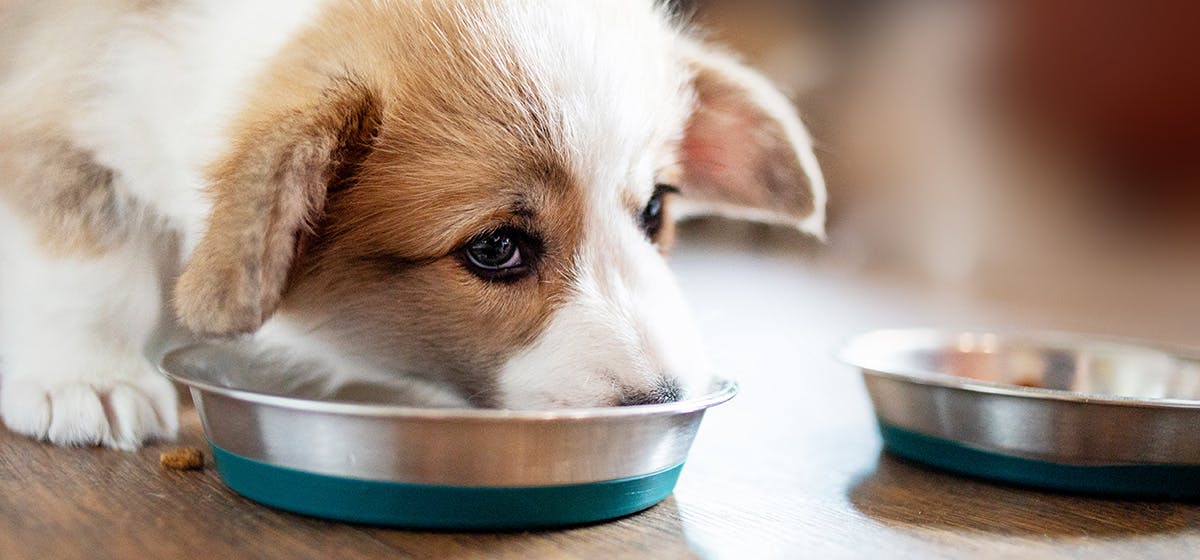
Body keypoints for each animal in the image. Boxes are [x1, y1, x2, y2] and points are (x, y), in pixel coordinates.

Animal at [0, 0, 825, 448]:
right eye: (495, 248)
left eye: (655, 209)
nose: (666, 399)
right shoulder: (62, 119)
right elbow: (88, 269)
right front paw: (87, 379)